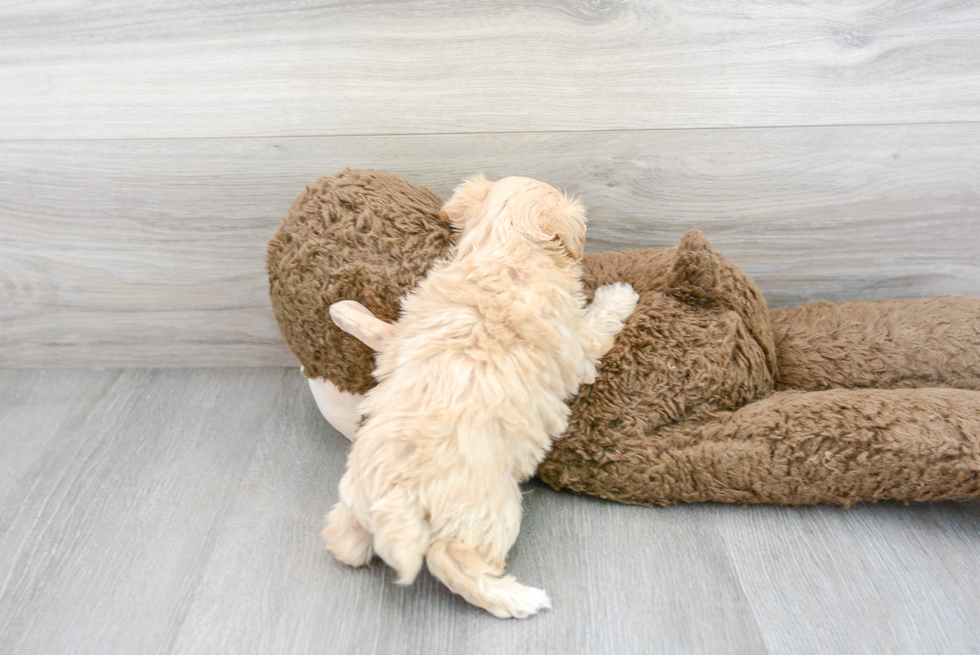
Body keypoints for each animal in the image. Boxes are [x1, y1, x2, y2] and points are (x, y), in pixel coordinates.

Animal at [326, 176, 640, 620]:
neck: (504, 252)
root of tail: (395, 499)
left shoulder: (402, 331)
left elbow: (379, 331)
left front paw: (344, 308)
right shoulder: (580, 343)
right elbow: (599, 320)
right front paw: (621, 295)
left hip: (353, 502)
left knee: (344, 544)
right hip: (493, 509)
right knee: (450, 560)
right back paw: (519, 598)